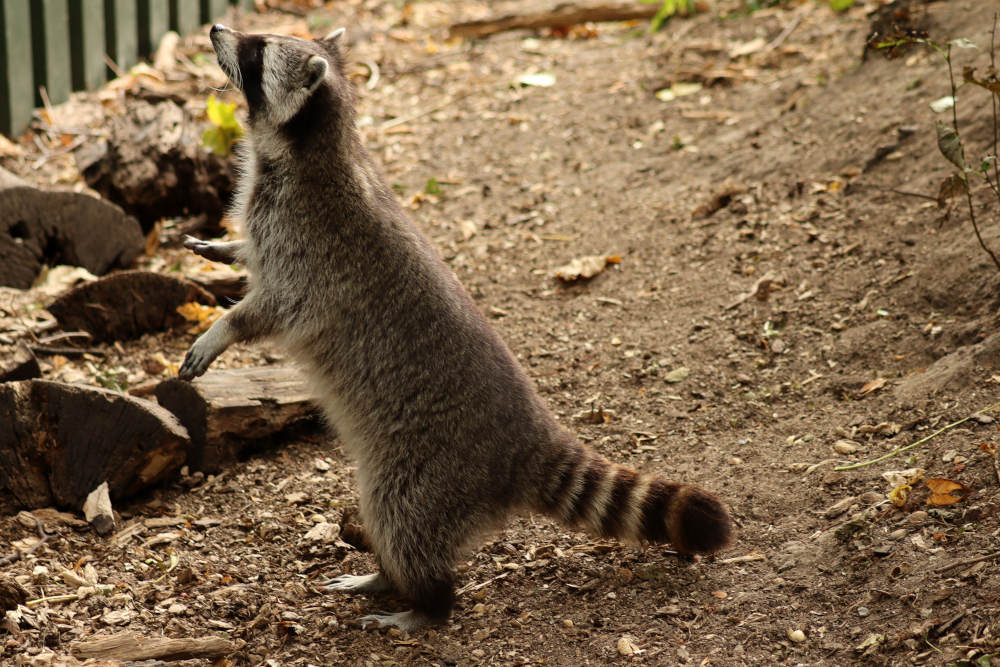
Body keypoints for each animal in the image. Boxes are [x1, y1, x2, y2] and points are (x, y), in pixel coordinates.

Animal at [178, 26, 736, 632]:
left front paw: (222, 329)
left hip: (432, 469)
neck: (314, 144)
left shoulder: (306, 242)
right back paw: (386, 576)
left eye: (256, 50)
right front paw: (226, 247)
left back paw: (425, 601)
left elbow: (272, 306)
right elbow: (249, 255)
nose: (216, 31)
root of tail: (528, 439)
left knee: (399, 515)